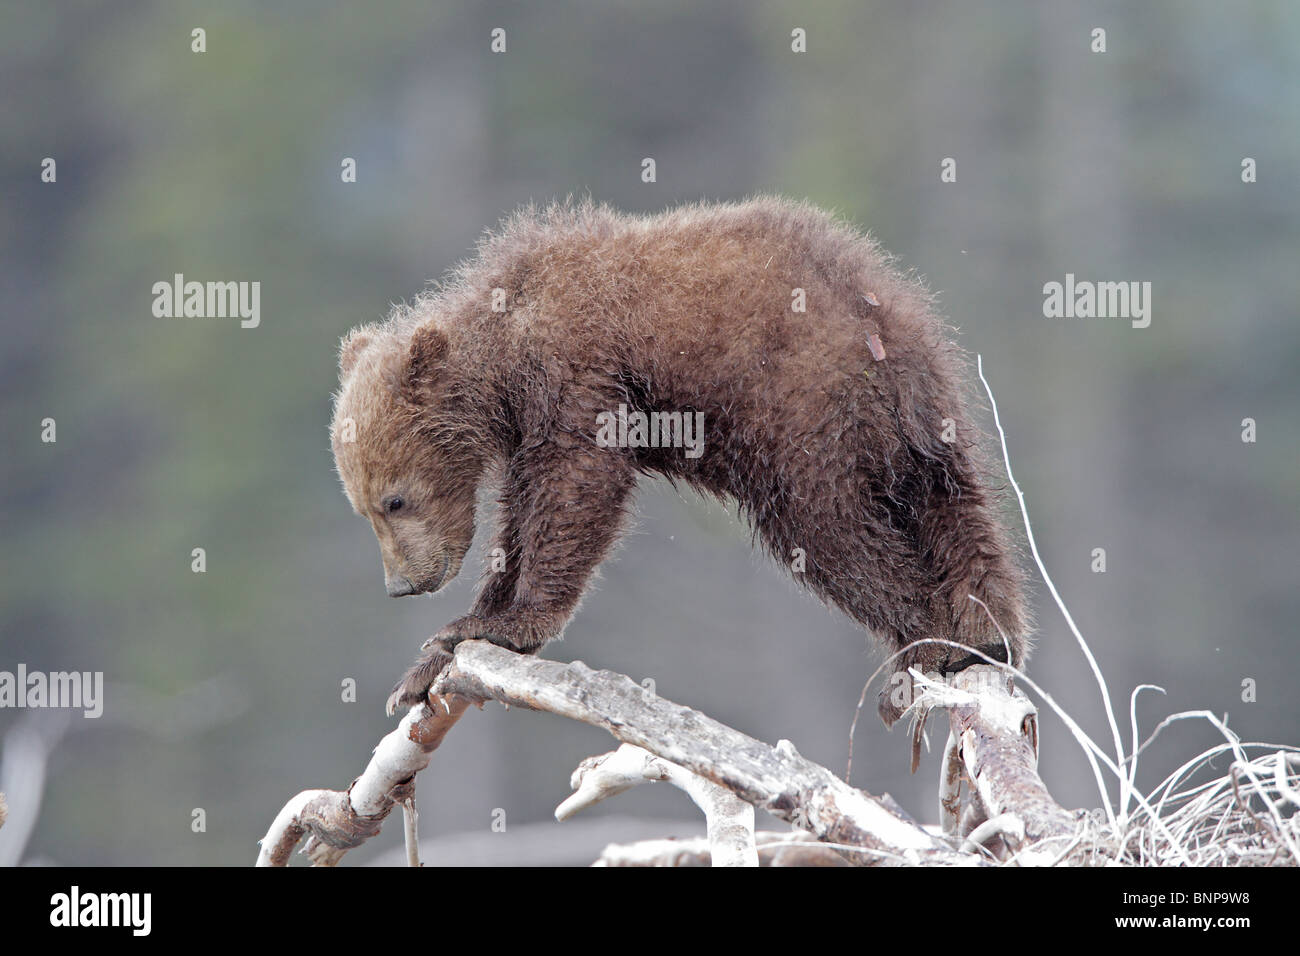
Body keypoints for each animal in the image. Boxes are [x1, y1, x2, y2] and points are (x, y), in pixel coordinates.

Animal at [329, 196, 1030, 726]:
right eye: (363, 509)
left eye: (394, 499)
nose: (402, 584)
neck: (505, 358)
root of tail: (882, 320)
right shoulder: (531, 425)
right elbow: (519, 521)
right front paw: (438, 652)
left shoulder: (579, 371)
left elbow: (577, 489)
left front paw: (510, 623)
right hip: (928, 414)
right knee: (958, 513)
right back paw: (985, 634)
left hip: (805, 409)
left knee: (829, 531)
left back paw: (925, 646)